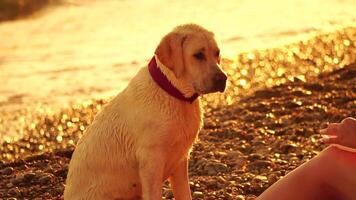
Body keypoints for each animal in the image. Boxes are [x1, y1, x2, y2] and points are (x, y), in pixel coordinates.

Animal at [64, 24, 227, 199]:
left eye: (217, 53)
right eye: (198, 55)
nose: (223, 78)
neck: (172, 92)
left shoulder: (181, 160)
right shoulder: (151, 162)